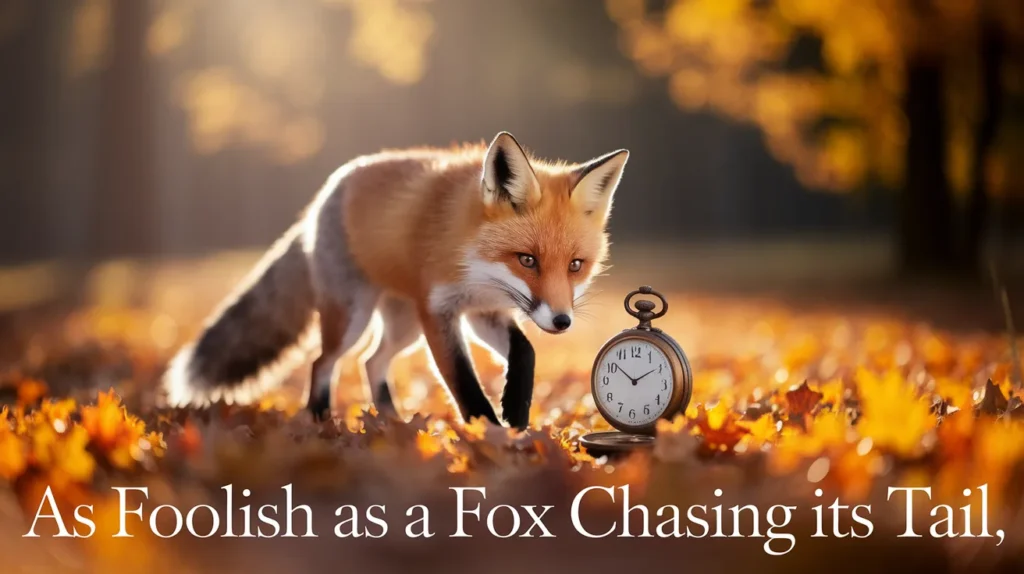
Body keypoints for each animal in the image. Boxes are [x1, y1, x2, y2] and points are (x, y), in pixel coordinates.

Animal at [161, 131, 629, 430]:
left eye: (575, 265)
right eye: (527, 260)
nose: (562, 322)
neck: (471, 260)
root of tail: (324, 195)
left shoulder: (484, 311)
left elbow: (525, 352)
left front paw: (515, 410)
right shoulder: (438, 310)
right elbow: (463, 382)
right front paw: (493, 435)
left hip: (403, 327)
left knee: (372, 361)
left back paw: (390, 421)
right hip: (354, 317)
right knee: (323, 362)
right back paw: (321, 421)